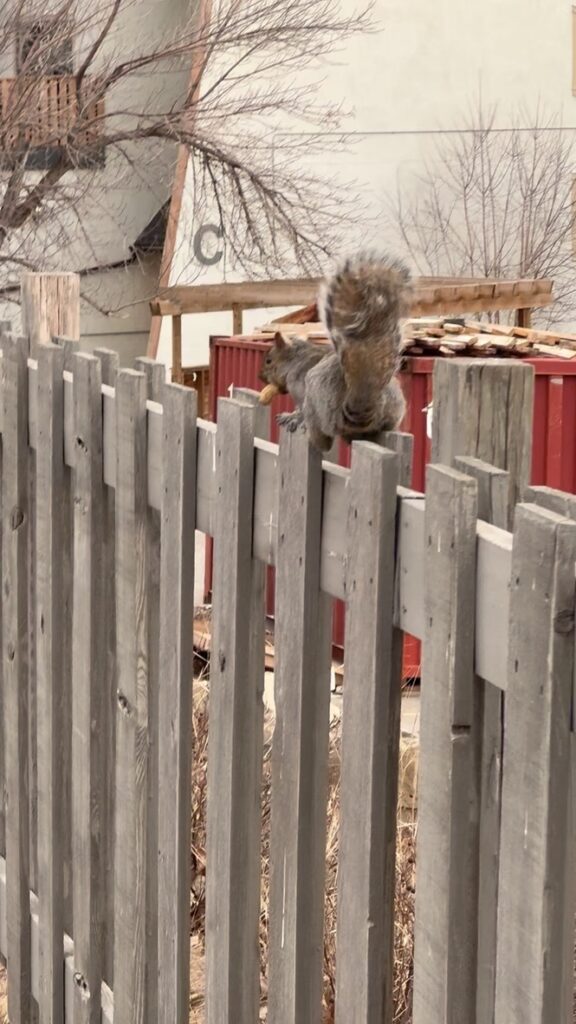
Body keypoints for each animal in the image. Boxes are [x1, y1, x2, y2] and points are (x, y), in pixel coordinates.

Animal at [258, 251, 411, 452]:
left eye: (269, 361)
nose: (260, 377)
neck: (295, 360)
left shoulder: (299, 387)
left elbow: (300, 410)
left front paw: (292, 417)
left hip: (317, 399)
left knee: (321, 437)